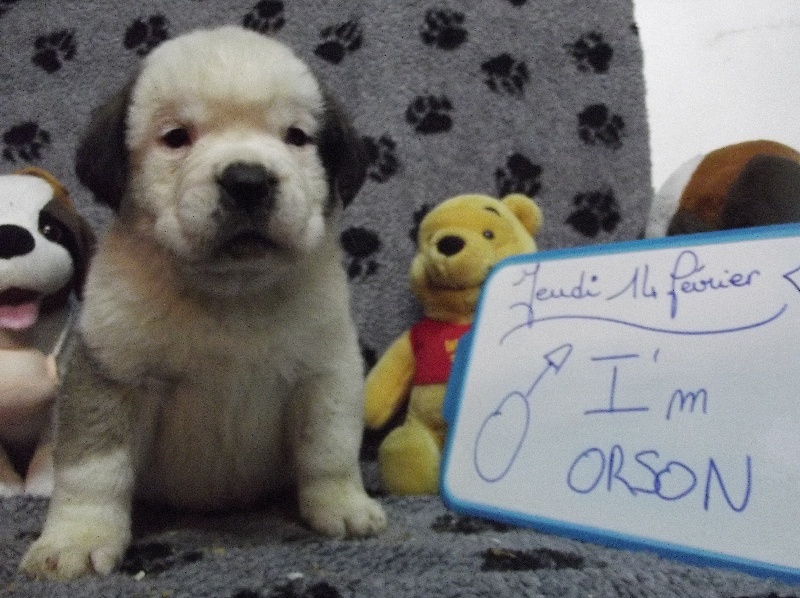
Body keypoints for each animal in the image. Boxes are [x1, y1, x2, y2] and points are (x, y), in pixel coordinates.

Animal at [20, 25, 386, 581]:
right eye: (176, 137)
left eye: (296, 137)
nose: (248, 180)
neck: (229, 293)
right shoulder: (112, 371)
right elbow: (94, 467)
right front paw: (78, 537)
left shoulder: (325, 372)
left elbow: (329, 448)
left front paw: (343, 505)